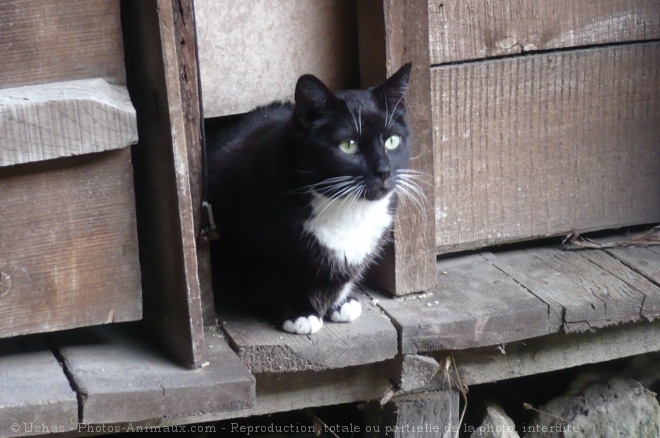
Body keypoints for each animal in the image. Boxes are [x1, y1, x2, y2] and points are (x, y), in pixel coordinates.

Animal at [209, 62, 418, 336]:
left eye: (392, 141)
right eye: (348, 145)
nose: (383, 171)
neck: (348, 209)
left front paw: (340, 303)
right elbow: (276, 276)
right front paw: (299, 313)